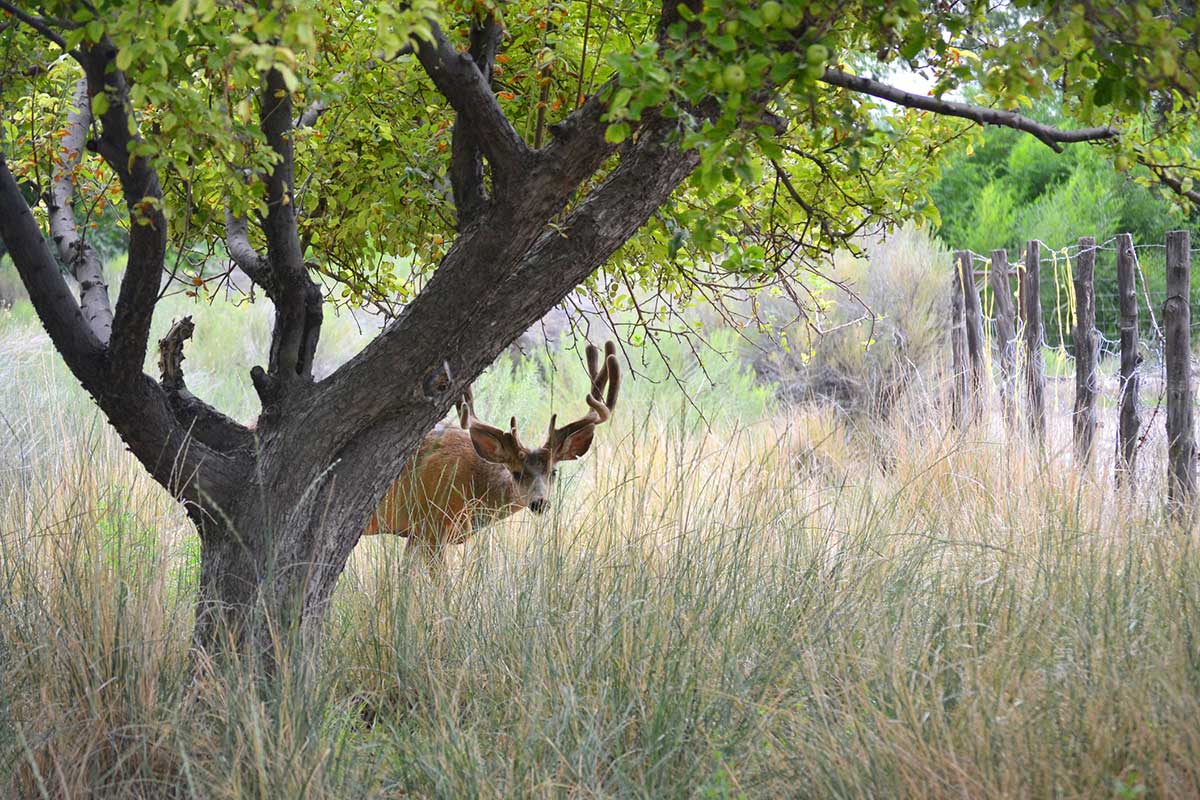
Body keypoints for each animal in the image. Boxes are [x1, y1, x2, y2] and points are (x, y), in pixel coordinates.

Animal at [362, 341, 621, 573]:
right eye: (516, 473)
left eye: (553, 471)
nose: (540, 503)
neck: (473, 487)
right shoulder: (432, 525)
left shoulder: (417, 533)